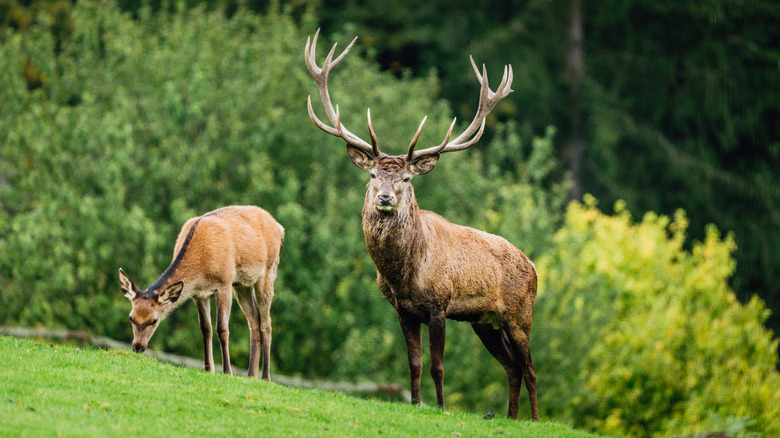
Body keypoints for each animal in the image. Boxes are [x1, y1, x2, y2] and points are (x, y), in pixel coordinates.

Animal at [119, 205, 284, 380]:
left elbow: (222, 329)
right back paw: (251, 375)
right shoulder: (198, 294)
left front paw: (227, 371)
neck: (202, 267)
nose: (138, 346)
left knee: (266, 323)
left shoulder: (224, 283)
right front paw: (208, 369)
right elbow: (206, 329)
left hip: (268, 271)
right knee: (254, 321)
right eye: (131, 318)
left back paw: (265, 376)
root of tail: (280, 228)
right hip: (242, 284)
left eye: (154, 320)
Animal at [304, 29, 536, 420]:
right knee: (513, 367)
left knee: (531, 368)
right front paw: (414, 403)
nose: (385, 198)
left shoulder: (439, 304)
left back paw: (533, 419)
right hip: (485, 321)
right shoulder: (403, 309)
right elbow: (414, 364)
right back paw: (512, 418)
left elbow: (437, 366)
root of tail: (534, 266)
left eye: (407, 179)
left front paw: (440, 407)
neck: (405, 272)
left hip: (520, 313)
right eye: (372, 175)